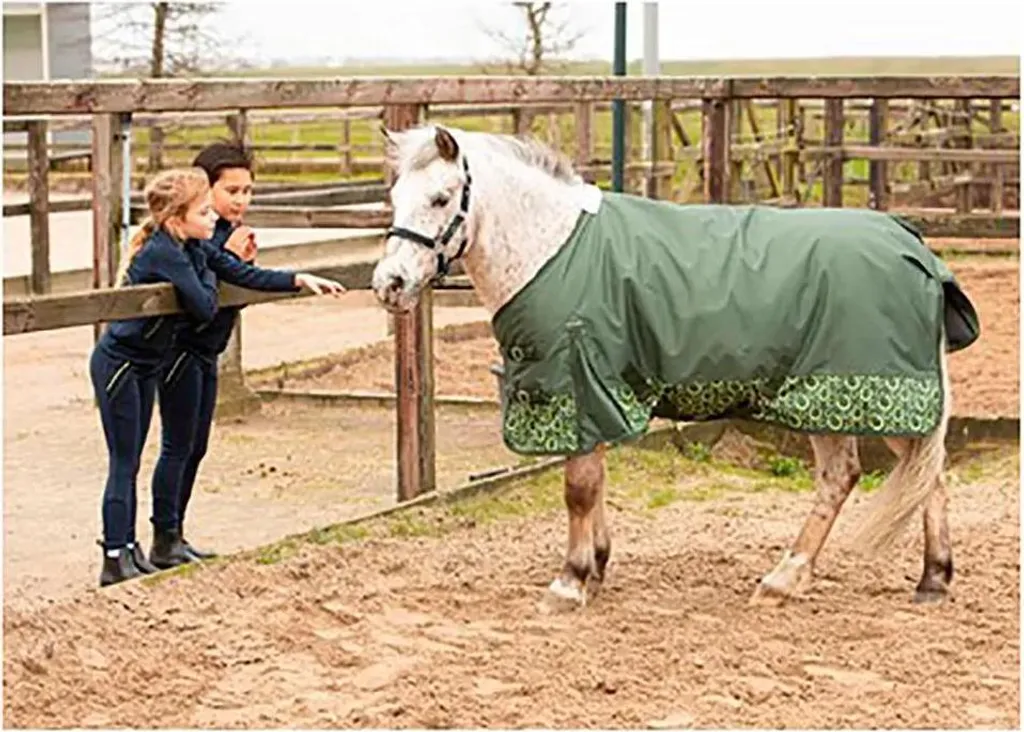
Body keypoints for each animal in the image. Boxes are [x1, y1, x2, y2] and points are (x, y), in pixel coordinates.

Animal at [370, 123, 980, 612]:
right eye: (395, 197)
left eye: (441, 197)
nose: (389, 284)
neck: (551, 248)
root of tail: (916, 250)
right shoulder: (593, 394)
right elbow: (596, 480)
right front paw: (597, 566)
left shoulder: (578, 383)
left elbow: (578, 487)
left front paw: (569, 582)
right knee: (880, 477)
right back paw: (895, 579)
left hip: (863, 398)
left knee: (899, 476)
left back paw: (833, 578)